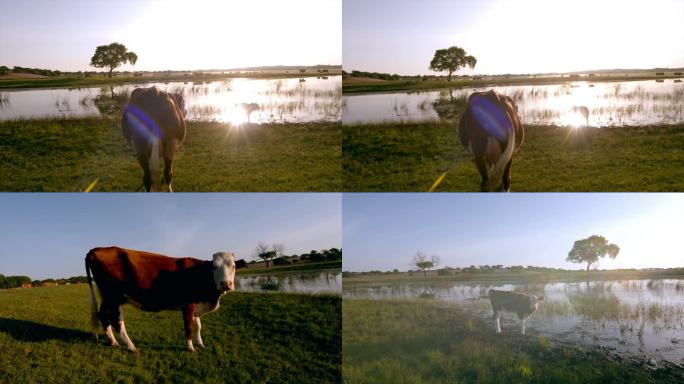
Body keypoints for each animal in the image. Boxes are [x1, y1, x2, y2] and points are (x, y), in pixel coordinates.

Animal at [85, 248, 238, 352]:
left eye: (233, 266)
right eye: (214, 267)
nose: (225, 284)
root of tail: (97, 249)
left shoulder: (196, 305)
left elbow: (197, 326)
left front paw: (201, 344)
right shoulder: (188, 304)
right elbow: (188, 326)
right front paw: (190, 348)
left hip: (107, 297)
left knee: (104, 315)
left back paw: (112, 341)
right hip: (113, 296)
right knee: (115, 320)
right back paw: (130, 346)